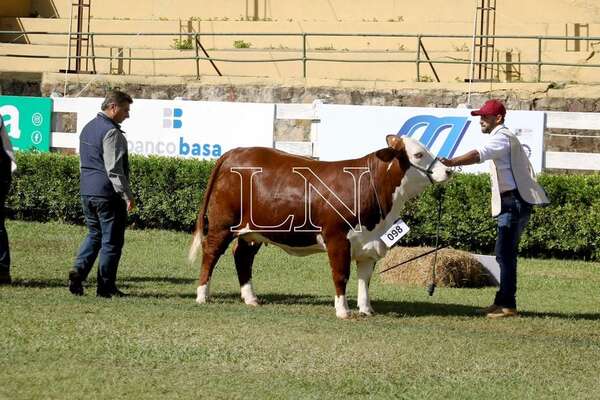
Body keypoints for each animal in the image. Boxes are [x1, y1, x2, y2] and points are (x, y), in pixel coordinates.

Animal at [188, 135, 450, 318]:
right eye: (418, 154)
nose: (447, 170)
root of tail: (237, 151)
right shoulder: (337, 239)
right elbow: (341, 275)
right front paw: (343, 311)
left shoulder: (369, 245)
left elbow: (364, 280)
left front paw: (366, 309)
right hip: (223, 222)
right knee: (211, 253)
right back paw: (202, 295)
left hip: (253, 231)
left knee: (242, 257)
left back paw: (250, 298)